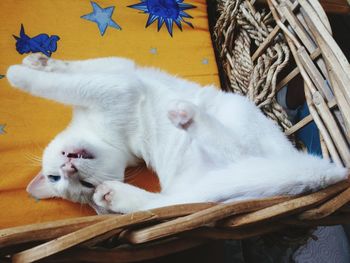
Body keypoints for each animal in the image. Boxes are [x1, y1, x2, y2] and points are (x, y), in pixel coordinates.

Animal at [5, 54, 348, 214]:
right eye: (60, 180)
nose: (68, 169)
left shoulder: (116, 79)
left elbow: (68, 76)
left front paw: (26, 67)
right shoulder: (115, 82)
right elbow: (68, 77)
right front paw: (30, 66)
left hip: (236, 119)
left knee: (232, 150)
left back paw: (186, 115)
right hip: (203, 183)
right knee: (170, 203)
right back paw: (114, 195)